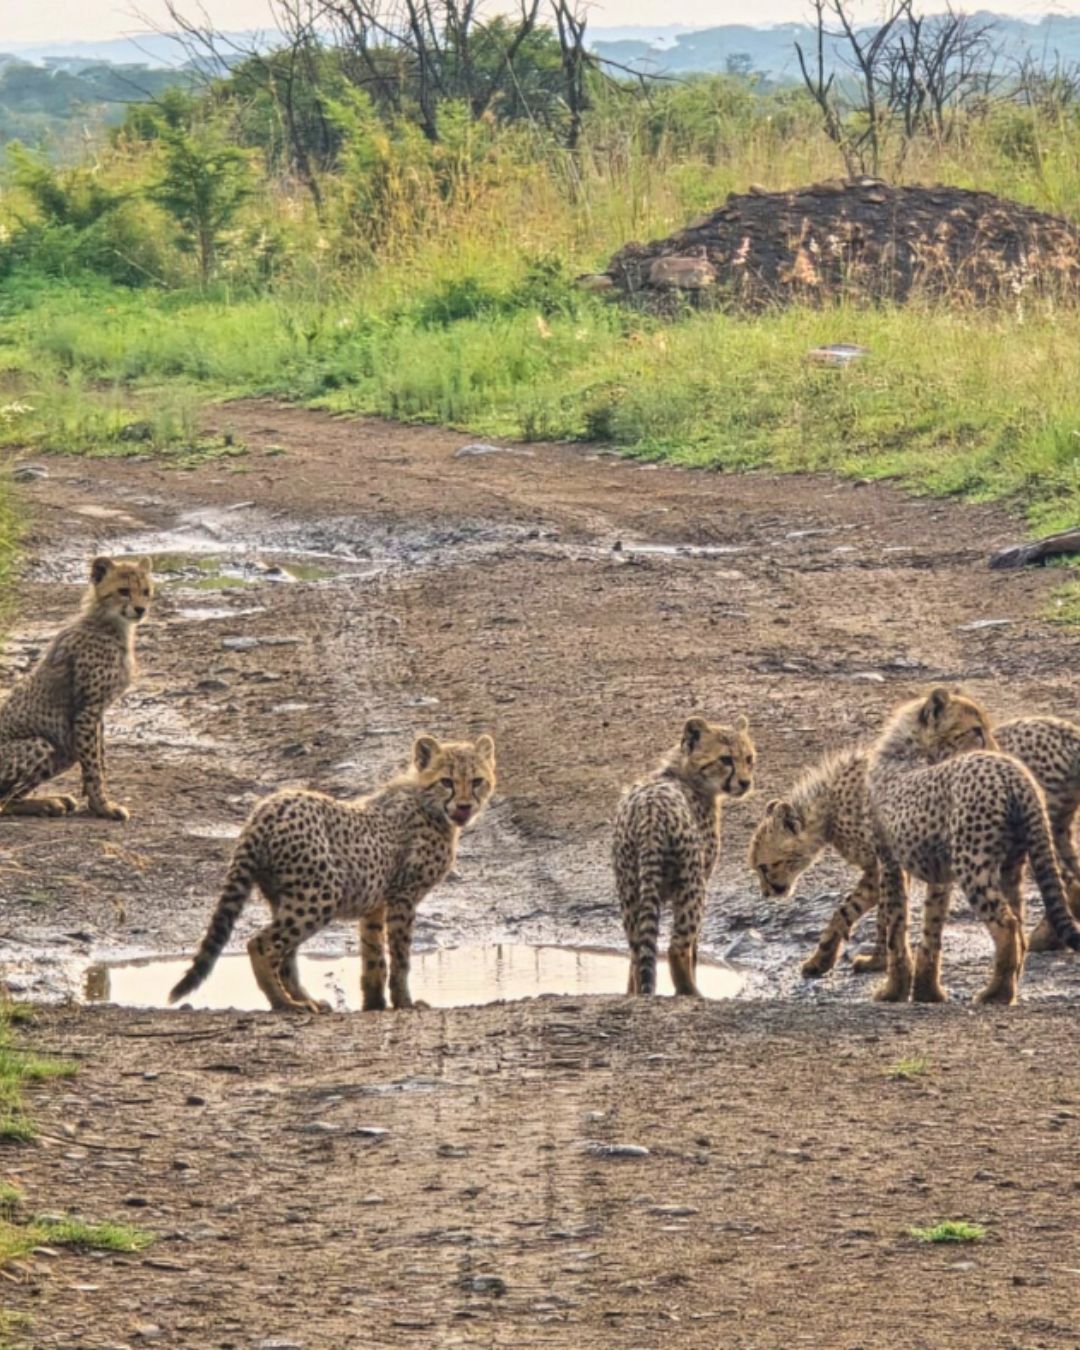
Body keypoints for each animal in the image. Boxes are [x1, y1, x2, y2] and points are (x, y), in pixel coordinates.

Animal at [0, 555, 152, 822]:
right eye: (124, 591)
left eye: (146, 591)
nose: (140, 609)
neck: (110, 624)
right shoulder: (88, 712)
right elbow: (93, 766)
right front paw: (103, 807)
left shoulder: (96, 714)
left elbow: (99, 758)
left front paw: (95, 804)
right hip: (41, 743)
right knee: (1, 803)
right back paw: (47, 803)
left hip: (63, 751)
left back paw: (51, 802)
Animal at [169, 733, 496, 1014]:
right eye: (447, 782)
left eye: (477, 781)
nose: (465, 806)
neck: (430, 805)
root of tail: (264, 811)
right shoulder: (403, 896)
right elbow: (401, 956)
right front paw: (405, 1003)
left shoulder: (376, 901)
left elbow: (373, 956)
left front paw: (374, 1004)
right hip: (320, 895)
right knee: (261, 945)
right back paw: (285, 1004)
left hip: (285, 895)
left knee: (285, 957)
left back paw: (305, 1000)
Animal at [613, 715, 754, 997]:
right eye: (726, 759)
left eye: (748, 758)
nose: (745, 783)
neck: (684, 774)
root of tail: (650, 812)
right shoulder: (703, 876)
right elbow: (694, 949)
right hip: (693, 885)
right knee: (677, 945)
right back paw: (693, 993)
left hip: (630, 888)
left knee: (637, 949)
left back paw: (637, 993)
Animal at [749, 715, 1080, 977]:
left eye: (766, 866)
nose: (766, 892)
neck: (829, 805)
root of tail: (1065, 730)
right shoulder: (888, 864)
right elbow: (875, 911)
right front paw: (864, 959)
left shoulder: (881, 865)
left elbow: (855, 911)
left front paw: (858, 960)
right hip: (1050, 832)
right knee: (1070, 877)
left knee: (1065, 880)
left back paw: (1043, 937)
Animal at [867, 687, 1080, 1006]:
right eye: (975, 731)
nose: (996, 748)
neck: (913, 749)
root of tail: (1012, 771)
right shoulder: (937, 870)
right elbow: (931, 927)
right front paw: (927, 991)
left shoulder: (891, 861)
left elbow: (895, 926)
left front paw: (893, 990)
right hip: (1014, 860)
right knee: (1022, 917)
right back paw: (1009, 984)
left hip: (973, 863)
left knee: (1007, 925)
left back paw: (995, 994)